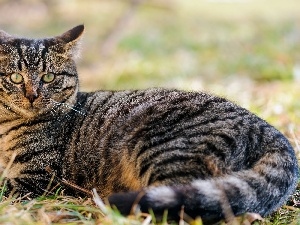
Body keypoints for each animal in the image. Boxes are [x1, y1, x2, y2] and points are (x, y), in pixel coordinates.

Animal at [0, 24, 298, 223]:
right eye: (16, 77)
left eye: (49, 77)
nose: (32, 95)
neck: (6, 127)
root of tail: (267, 127)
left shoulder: (38, 177)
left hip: (163, 153)